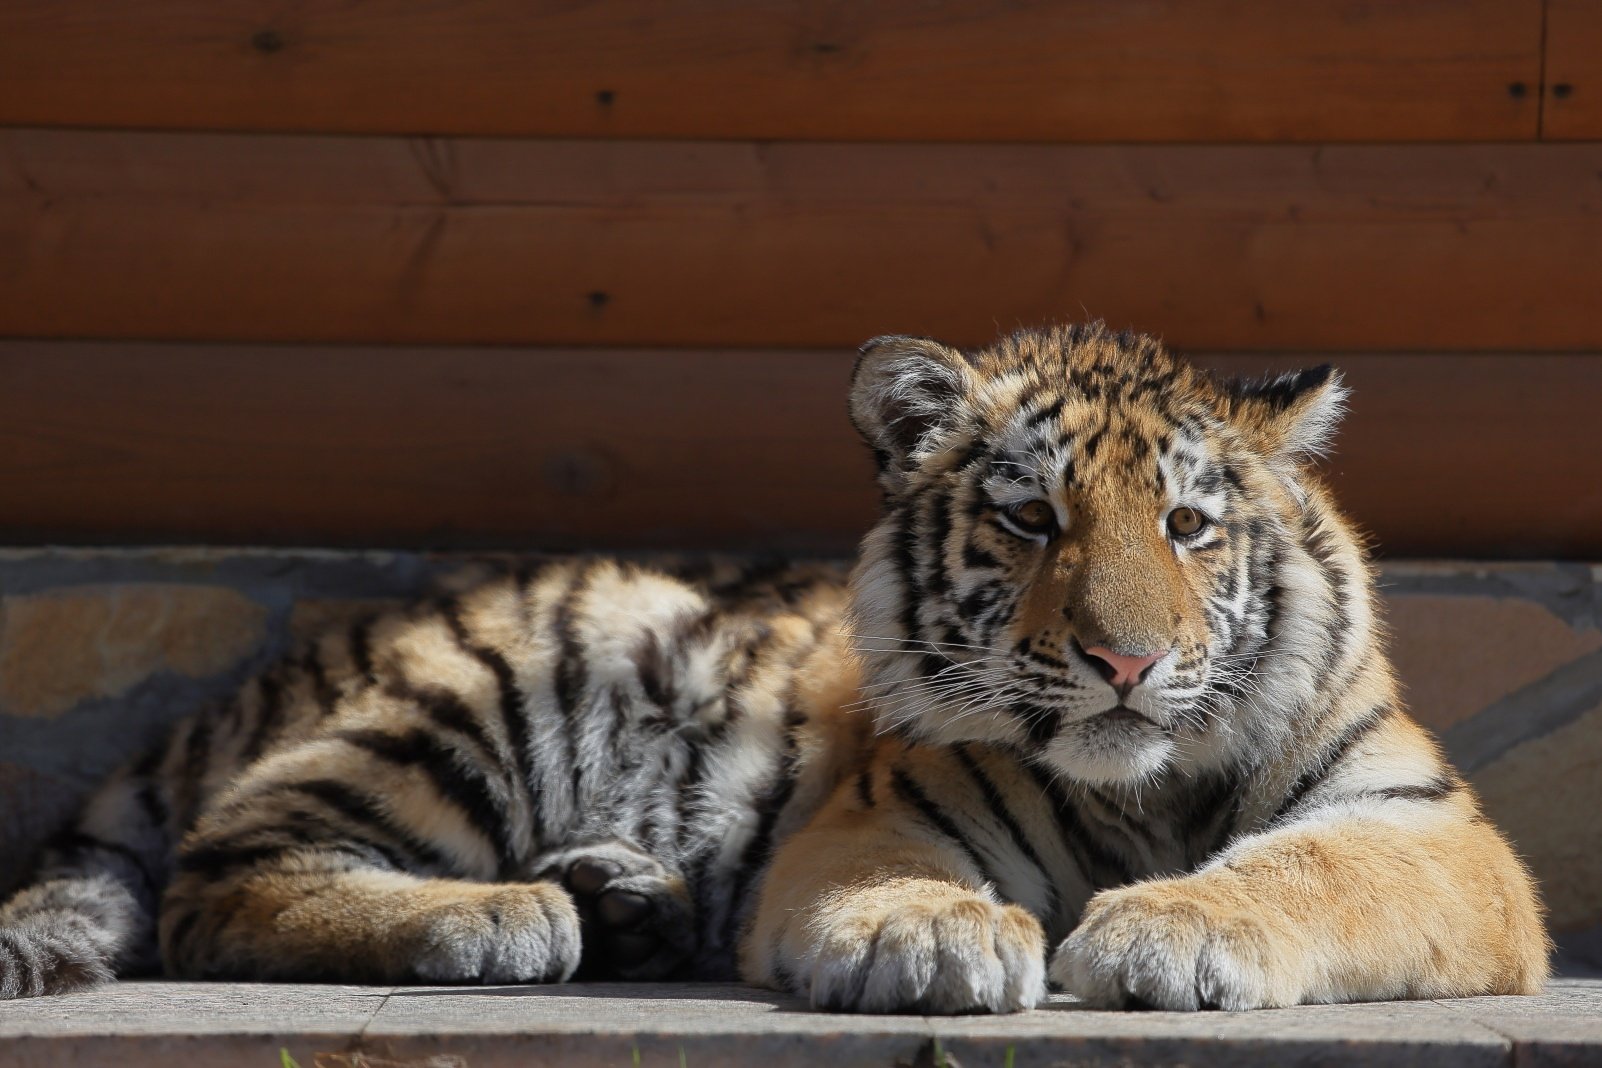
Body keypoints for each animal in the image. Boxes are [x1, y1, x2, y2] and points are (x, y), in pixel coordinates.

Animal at [0, 324, 1546, 1013]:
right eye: (1031, 518)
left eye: (1185, 525)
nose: (1123, 656)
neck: (1142, 791)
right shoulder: (876, 819)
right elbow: (899, 885)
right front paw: (939, 943)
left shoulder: (1431, 836)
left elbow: (1303, 868)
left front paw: (1164, 931)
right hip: (487, 690)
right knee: (222, 877)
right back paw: (506, 916)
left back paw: (622, 901)